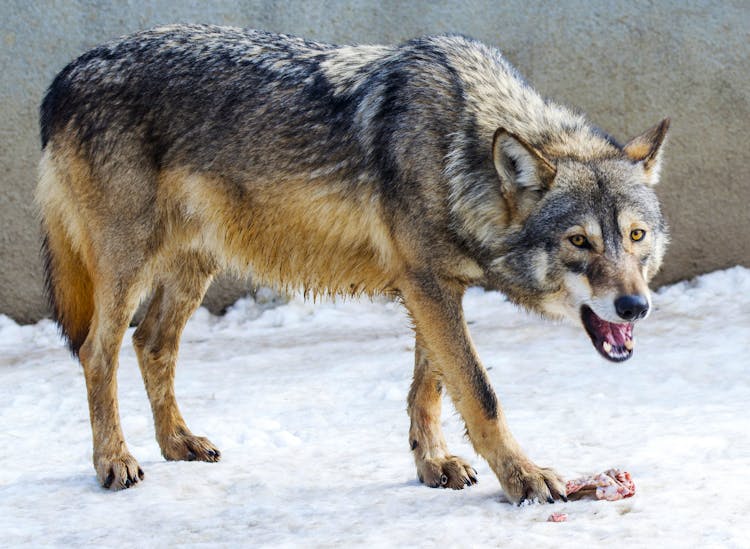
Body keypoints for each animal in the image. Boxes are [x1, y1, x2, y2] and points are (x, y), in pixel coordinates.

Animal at [35, 26, 668, 506]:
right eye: (579, 241)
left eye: (635, 237)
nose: (636, 306)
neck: (457, 152)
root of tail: (64, 75)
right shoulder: (427, 286)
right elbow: (480, 394)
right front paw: (524, 478)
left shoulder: (432, 286)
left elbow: (431, 387)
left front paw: (433, 464)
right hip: (127, 271)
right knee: (98, 352)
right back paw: (114, 460)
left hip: (193, 268)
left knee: (151, 344)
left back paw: (177, 443)